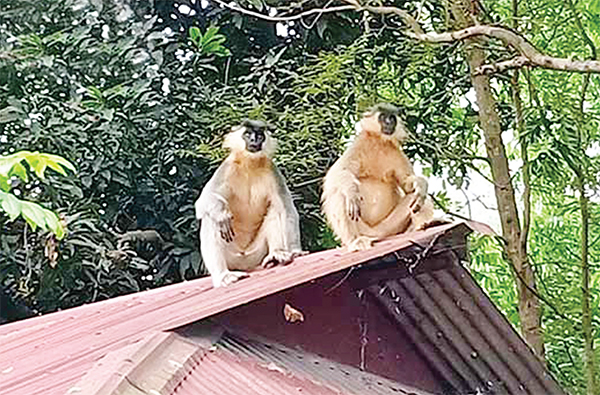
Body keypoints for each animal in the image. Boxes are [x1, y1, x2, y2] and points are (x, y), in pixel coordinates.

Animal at [195, 120, 302, 288]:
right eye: (247, 134)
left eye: (259, 135)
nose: (254, 140)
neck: (249, 164)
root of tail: (244, 261)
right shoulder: (227, 167)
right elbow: (202, 202)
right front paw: (222, 214)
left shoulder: (272, 169)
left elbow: (288, 210)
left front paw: (296, 251)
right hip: (232, 257)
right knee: (210, 219)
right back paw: (223, 276)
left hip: (256, 254)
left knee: (275, 210)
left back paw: (276, 254)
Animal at [322, 103, 434, 252]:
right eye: (383, 117)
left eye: (392, 118)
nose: (388, 122)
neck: (379, 141)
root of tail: (374, 232)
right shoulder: (360, 142)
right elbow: (338, 173)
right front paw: (352, 192)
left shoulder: (395, 151)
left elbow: (408, 186)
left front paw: (420, 183)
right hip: (361, 228)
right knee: (341, 195)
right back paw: (355, 241)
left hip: (389, 228)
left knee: (417, 198)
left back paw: (427, 223)